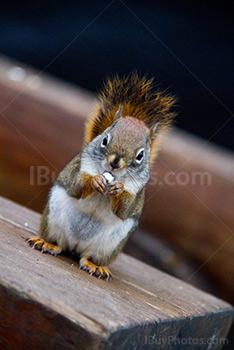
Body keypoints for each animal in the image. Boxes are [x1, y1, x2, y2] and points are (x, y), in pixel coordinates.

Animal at [26, 73, 176, 278]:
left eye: (140, 155)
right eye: (105, 139)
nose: (115, 162)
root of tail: (75, 246)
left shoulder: (138, 191)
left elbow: (125, 210)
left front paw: (119, 188)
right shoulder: (78, 167)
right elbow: (76, 186)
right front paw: (95, 180)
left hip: (108, 246)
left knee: (88, 256)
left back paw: (95, 266)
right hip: (52, 221)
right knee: (58, 243)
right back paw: (47, 243)